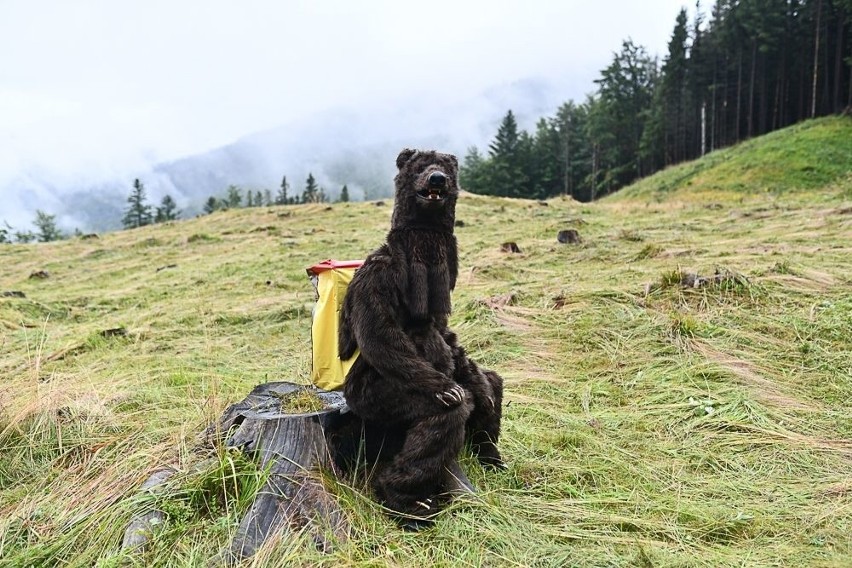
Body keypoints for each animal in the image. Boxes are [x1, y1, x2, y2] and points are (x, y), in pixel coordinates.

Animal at [336, 149, 502, 520]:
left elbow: (451, 340)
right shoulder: (376, 278)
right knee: (442, 416)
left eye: (446, 170)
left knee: (491, 388)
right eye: (420, 167)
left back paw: (492, 458)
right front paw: (444, 389)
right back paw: (406, 500)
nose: (437, 178)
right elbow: (381, 337)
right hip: (375, 397)